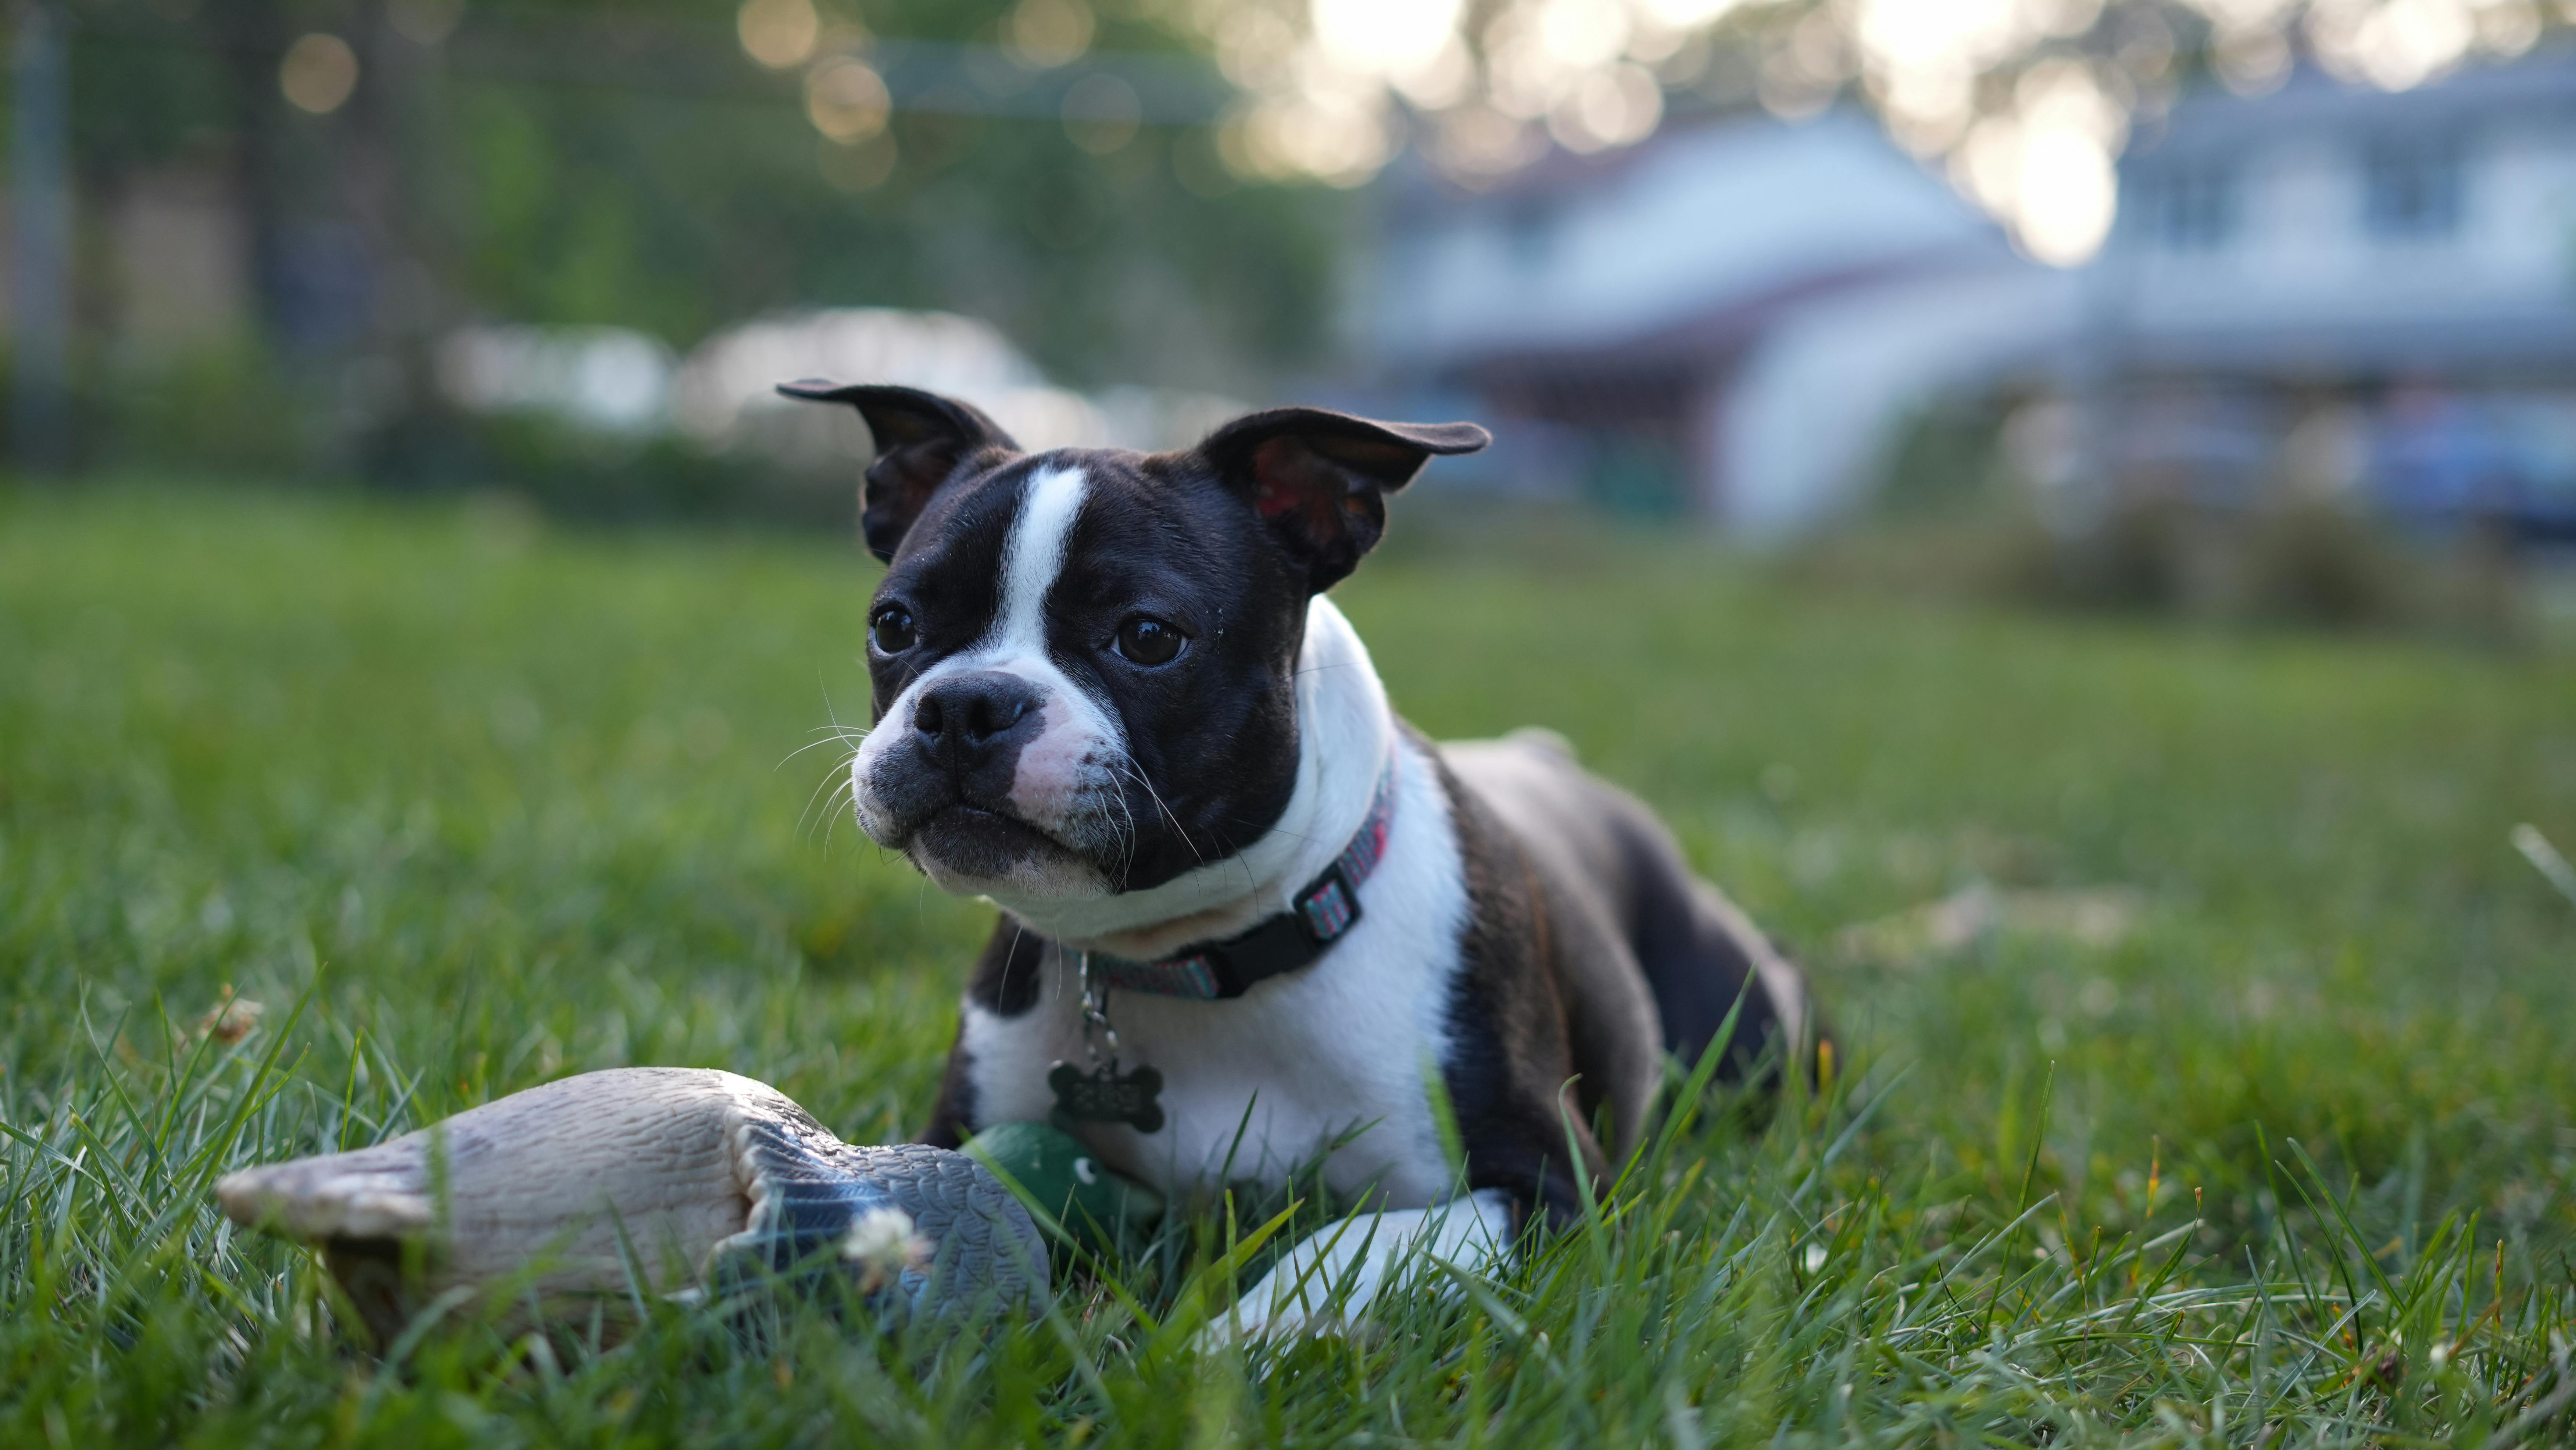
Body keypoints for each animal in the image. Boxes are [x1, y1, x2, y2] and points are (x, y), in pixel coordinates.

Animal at [783, 381, 1813, 1329]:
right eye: (894, 625)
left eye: (1148, 637)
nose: (967, 705)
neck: (1195, 959)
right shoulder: (958, 1126)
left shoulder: (1555, 1192)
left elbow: (1344, 1247)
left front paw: (1219, 1350)